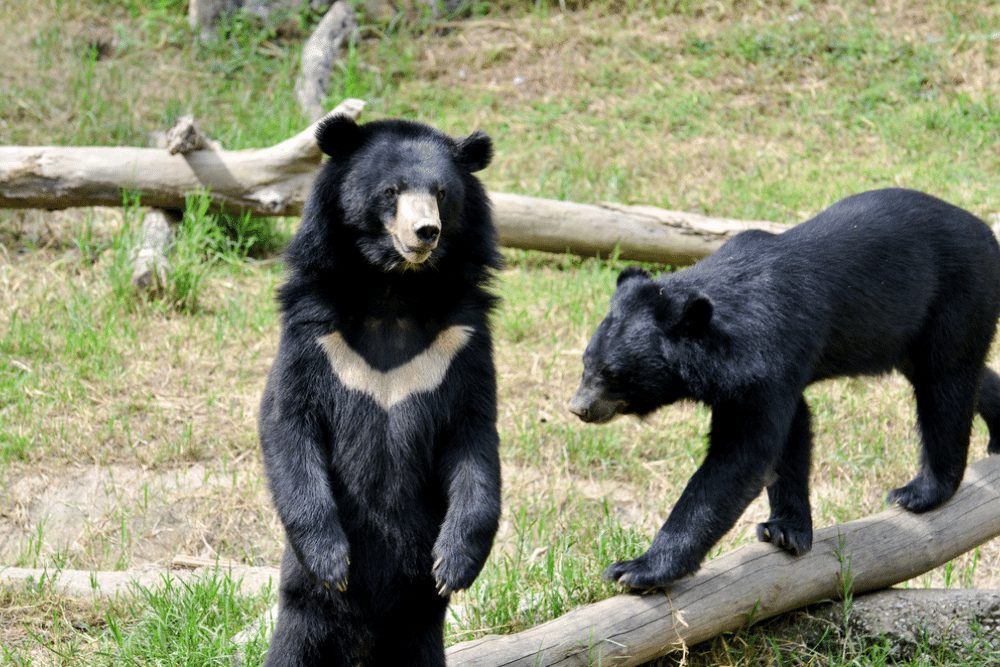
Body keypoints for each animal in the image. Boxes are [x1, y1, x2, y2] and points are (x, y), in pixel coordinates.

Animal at [258, 116, 502, 665]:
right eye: (391, 191)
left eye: (441, 193)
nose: (425, 232)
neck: (394, 288)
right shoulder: (313, 333)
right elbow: (289, 422)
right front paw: (333, 562)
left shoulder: (462, 340)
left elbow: (473, 436)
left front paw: (453, 565)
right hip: (304, 602)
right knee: (295, 641)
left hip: (417, 619)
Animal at [569, 188, 1000, 591]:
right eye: (586, 361)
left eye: (613, 373)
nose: (579, 408)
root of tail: (986, 232)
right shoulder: (755, 377)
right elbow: (791, 435)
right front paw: (786, 531)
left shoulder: (767, 357)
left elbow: (743, 455)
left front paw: (636, 569)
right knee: (967, 376)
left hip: (957, 296)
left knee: (945, 383)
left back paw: (919, 492)